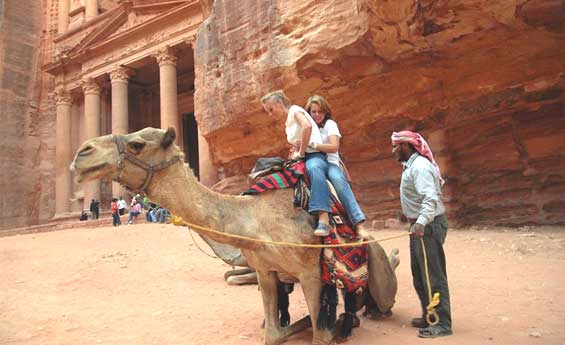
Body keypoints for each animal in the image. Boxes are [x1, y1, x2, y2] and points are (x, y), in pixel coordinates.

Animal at [69, 127, 396, 344]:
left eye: (137, 144)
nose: (82, 152)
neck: (253, 220)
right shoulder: (264, 270)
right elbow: (273, 334)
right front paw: (301, 322)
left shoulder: (310, 272)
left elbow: (321, 335)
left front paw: (327, 324)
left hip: (371, 263)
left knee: (378, 289)